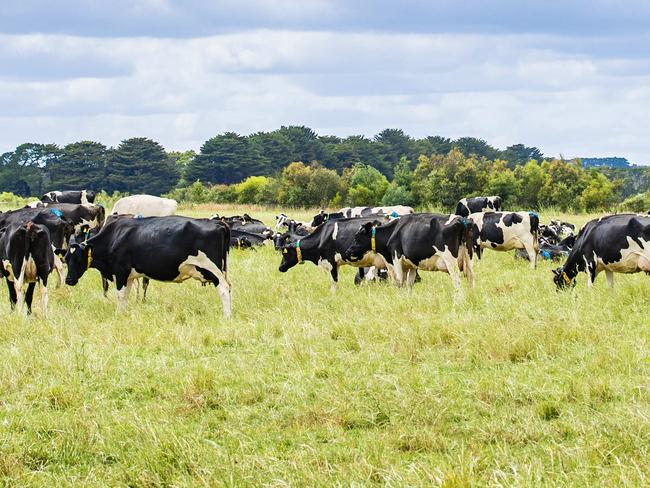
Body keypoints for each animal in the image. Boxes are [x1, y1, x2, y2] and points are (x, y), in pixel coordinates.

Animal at [60, 216, 232, 316]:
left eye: (78, 258)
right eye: (66, 259)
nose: (69, 280)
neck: (113, 237)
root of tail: (218, 223)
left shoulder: (120, 271)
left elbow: (120, 295)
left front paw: (118, 315)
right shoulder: (129, 276)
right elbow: (126, 296)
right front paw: (123, 314)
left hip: (212, 268)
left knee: (224, 288)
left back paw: (227, 316)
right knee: (229, 287)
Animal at [342, 214, 474, 290]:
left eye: (357, 237)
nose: (348, 251)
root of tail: (461, 220)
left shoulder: (396, 259)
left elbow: (400, 282)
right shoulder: (410, 265)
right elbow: (409, 284)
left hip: (450, 261)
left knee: (457, 281)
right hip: (469, 259)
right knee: (471, 279)